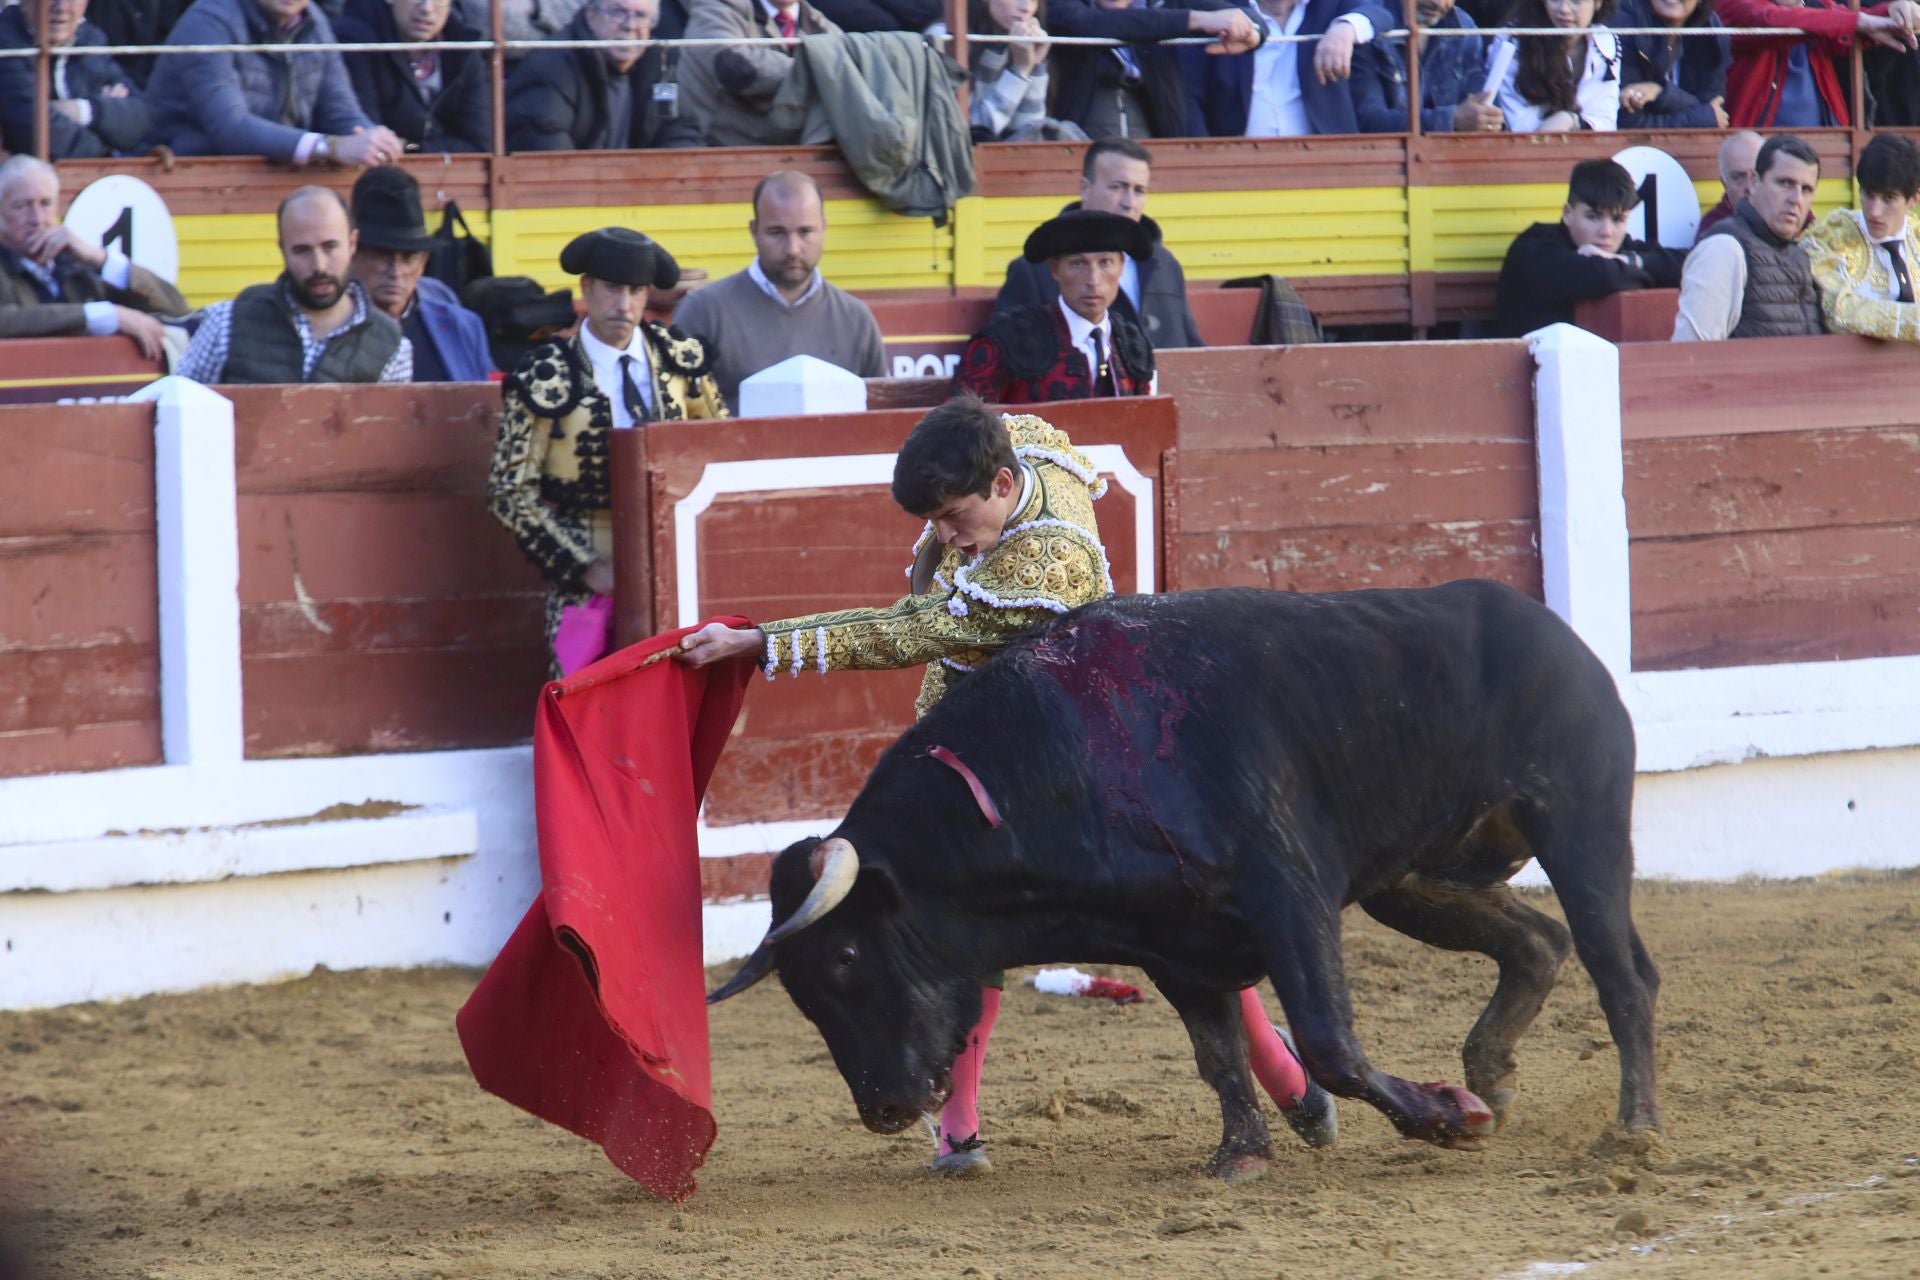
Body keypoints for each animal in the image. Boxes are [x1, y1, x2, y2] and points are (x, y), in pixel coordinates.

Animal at [714, 583, 1658, 1182]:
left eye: (843, 957)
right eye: (799, 988)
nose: (881, 1107)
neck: (1070, 762)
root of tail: (1552, 628)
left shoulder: (1290, 898)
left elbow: (1330, 1042)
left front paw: (1448, 1120)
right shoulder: (1174, 944)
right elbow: (1216, 1056)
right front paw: (1242, 1154)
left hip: (1581, 821)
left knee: (1620, 970)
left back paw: (1634, 1128)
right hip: (1413, 877)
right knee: (1537, 940)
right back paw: (1493, 1072)